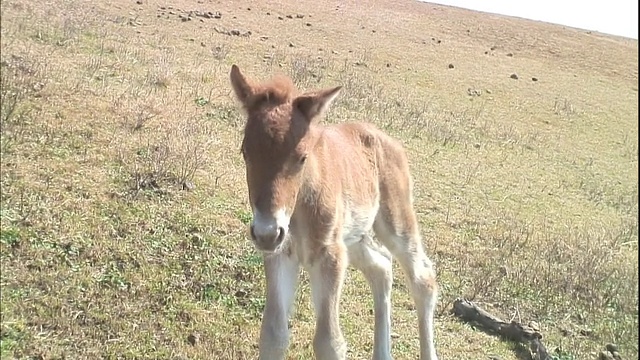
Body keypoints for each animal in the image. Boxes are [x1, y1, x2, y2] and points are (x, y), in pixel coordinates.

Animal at [230, 65, 440, 360]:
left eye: (302, 157)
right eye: (245, 151)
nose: (267, 233)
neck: (298, 214)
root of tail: (389, 140)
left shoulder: (330, 255)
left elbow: (329, 341)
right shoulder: (281, 254)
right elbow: (273, 334)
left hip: (395, 218)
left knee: (422, 278)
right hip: (353, 237)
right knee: (381, 266)